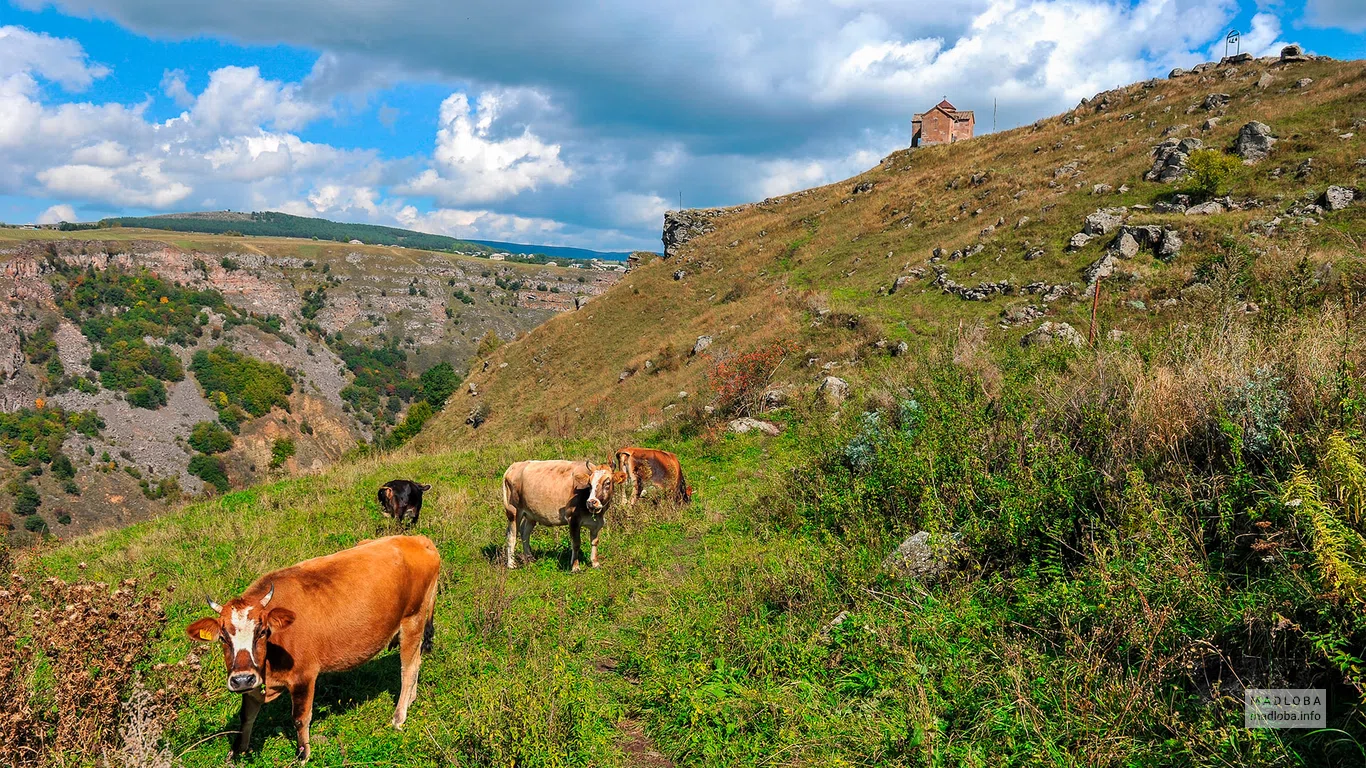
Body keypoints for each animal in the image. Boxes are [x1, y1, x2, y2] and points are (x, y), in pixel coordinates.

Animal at [185, 535, 440, 762]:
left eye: (262, 631)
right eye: (223, 637)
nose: (241, 680)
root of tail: (419, 539)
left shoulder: (304, 676)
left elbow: (300, 717)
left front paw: (303, 754)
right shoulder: (254, 680)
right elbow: (246, 717)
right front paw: (238, 751)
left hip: (413, 620)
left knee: (408, 669)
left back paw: (399, 716)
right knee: (416, 662)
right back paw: (411, 699)